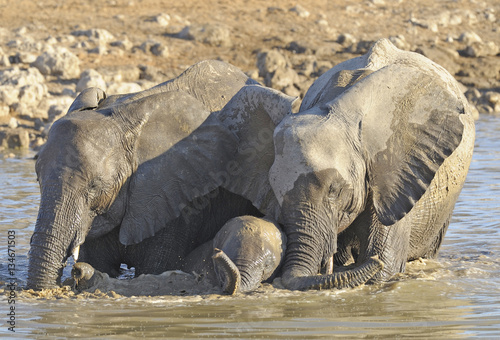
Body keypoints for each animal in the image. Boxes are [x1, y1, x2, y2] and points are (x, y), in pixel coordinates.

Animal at [26, 59, 272, 288]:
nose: (75, 271)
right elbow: (98, 264)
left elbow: (155, 267)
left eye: (95, 186)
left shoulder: (179, 196)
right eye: (38, 180)